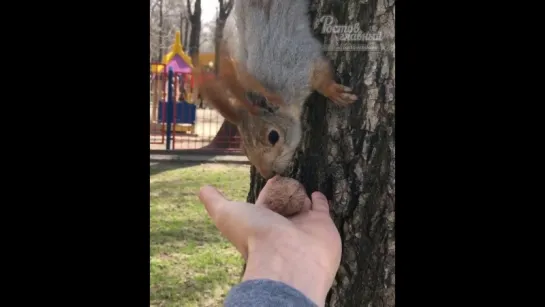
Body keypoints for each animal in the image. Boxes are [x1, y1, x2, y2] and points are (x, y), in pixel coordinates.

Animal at [193, 0, 360, 179]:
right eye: (243, 148)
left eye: (273, 136)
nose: (268, 174)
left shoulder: (299, 64)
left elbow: (321, 75)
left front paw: (334, 92)